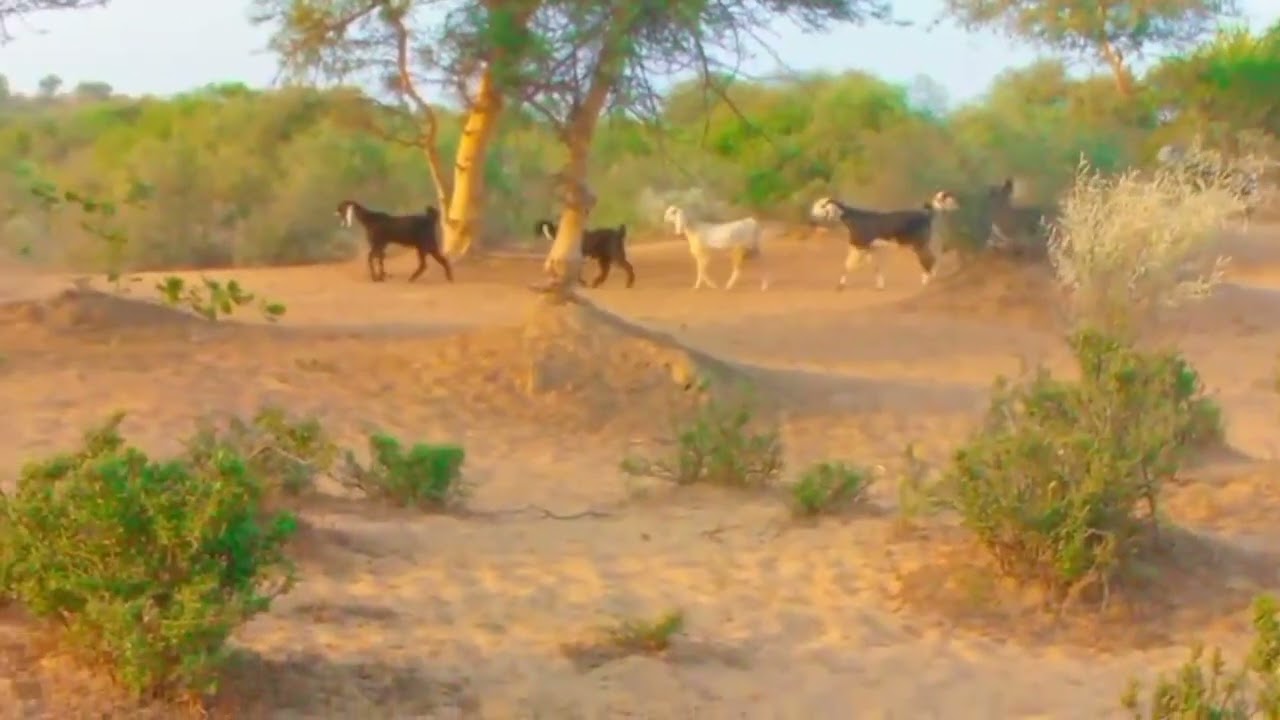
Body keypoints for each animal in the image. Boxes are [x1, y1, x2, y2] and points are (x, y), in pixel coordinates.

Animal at [809, 191, 959, 290]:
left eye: (822, 205)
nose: (811, 216)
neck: (853, 219)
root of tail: (926, 214)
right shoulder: (870, 249)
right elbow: (875, 267)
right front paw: (880, 285)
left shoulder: (860, 247)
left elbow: (848, 265)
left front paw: (840, 285)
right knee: (933, 258)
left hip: (919, 244)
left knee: (930, 259)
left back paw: (925, 282)